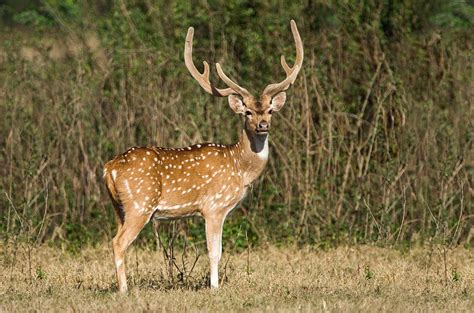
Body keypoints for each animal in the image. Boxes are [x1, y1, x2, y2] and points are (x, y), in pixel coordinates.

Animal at [103, 20, 304, 292]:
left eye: (270, 110)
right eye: (248, 112)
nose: (263, 125)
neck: (240, 168)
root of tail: (108, 168)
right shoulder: (214, 206)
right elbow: (214, 252)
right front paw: (214, 287)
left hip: (119, 208)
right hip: (139, 204)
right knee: (118, 242)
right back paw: (124, 290)